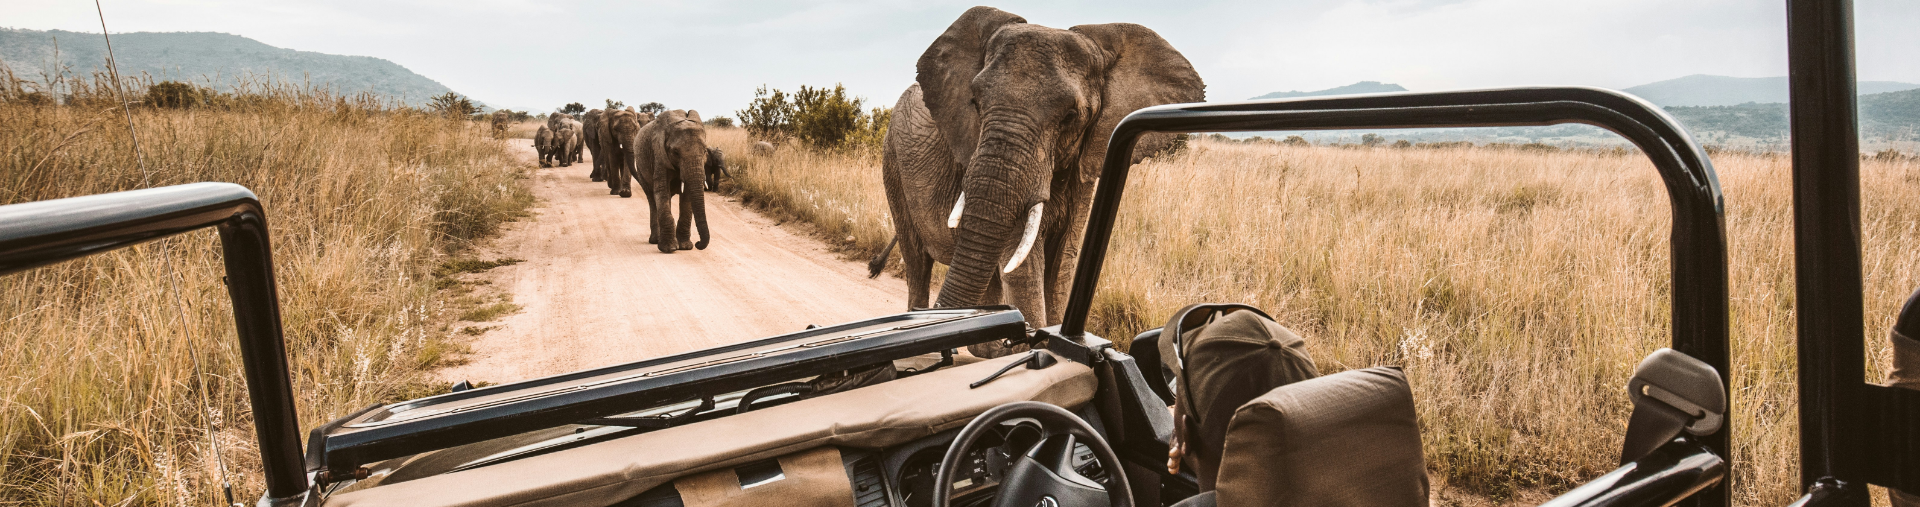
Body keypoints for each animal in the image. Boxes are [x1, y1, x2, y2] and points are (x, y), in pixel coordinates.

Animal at [637, 110, 714, 253]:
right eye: (676, 152)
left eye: (705, 151)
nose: (698, 243)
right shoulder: (659, 156)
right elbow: (661, 190)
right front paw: (669, 249)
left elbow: (687, 196)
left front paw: (685, 247)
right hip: (640, 170)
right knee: (652, 199)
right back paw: (655, 240)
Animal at [871, 5, 1198, 353]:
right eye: (975, 103)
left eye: (1071, 116)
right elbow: (1024, 268)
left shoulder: (1084, 165)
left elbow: (1061, 265)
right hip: (893, 163)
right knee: (918, 262)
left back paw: (986, 349)